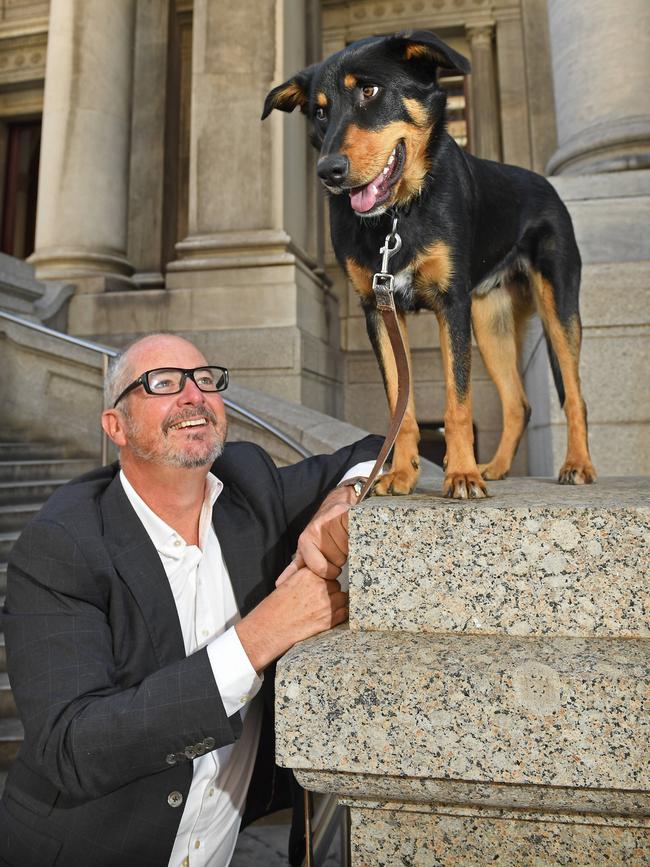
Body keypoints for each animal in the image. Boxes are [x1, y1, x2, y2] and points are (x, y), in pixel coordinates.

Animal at [260, 27, 596, 498]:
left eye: (369, 90)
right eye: (320, 112)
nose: (329, 171)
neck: (398, 214)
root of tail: (545, 183)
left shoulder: (450, 304)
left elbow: (457, 402)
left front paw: (462, 475)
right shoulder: (379, 310)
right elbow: (401, 406)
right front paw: (401, 474)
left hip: (558, 305)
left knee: (574, 395)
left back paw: (576, 464)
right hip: (490, 322)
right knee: (518, 404)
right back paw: (496, 466)